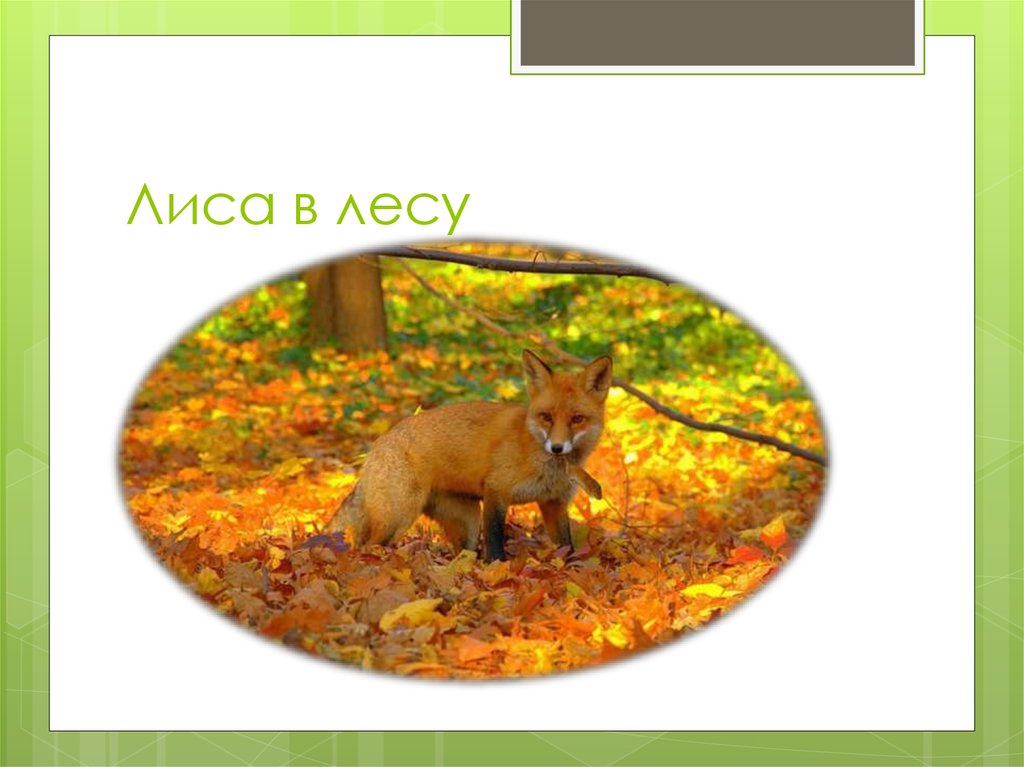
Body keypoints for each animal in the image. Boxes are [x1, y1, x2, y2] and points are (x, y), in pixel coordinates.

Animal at [325, 350, 613, 561]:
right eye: (547, 417)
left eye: (577, 419)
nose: (556, 447)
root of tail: (376, 444)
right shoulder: (496, 490)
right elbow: (495, 542)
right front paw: (498, 569)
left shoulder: (554, 503)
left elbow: (566, 547)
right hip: (399, 516)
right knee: (367, 545)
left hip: (468, 522)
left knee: (462, 554)